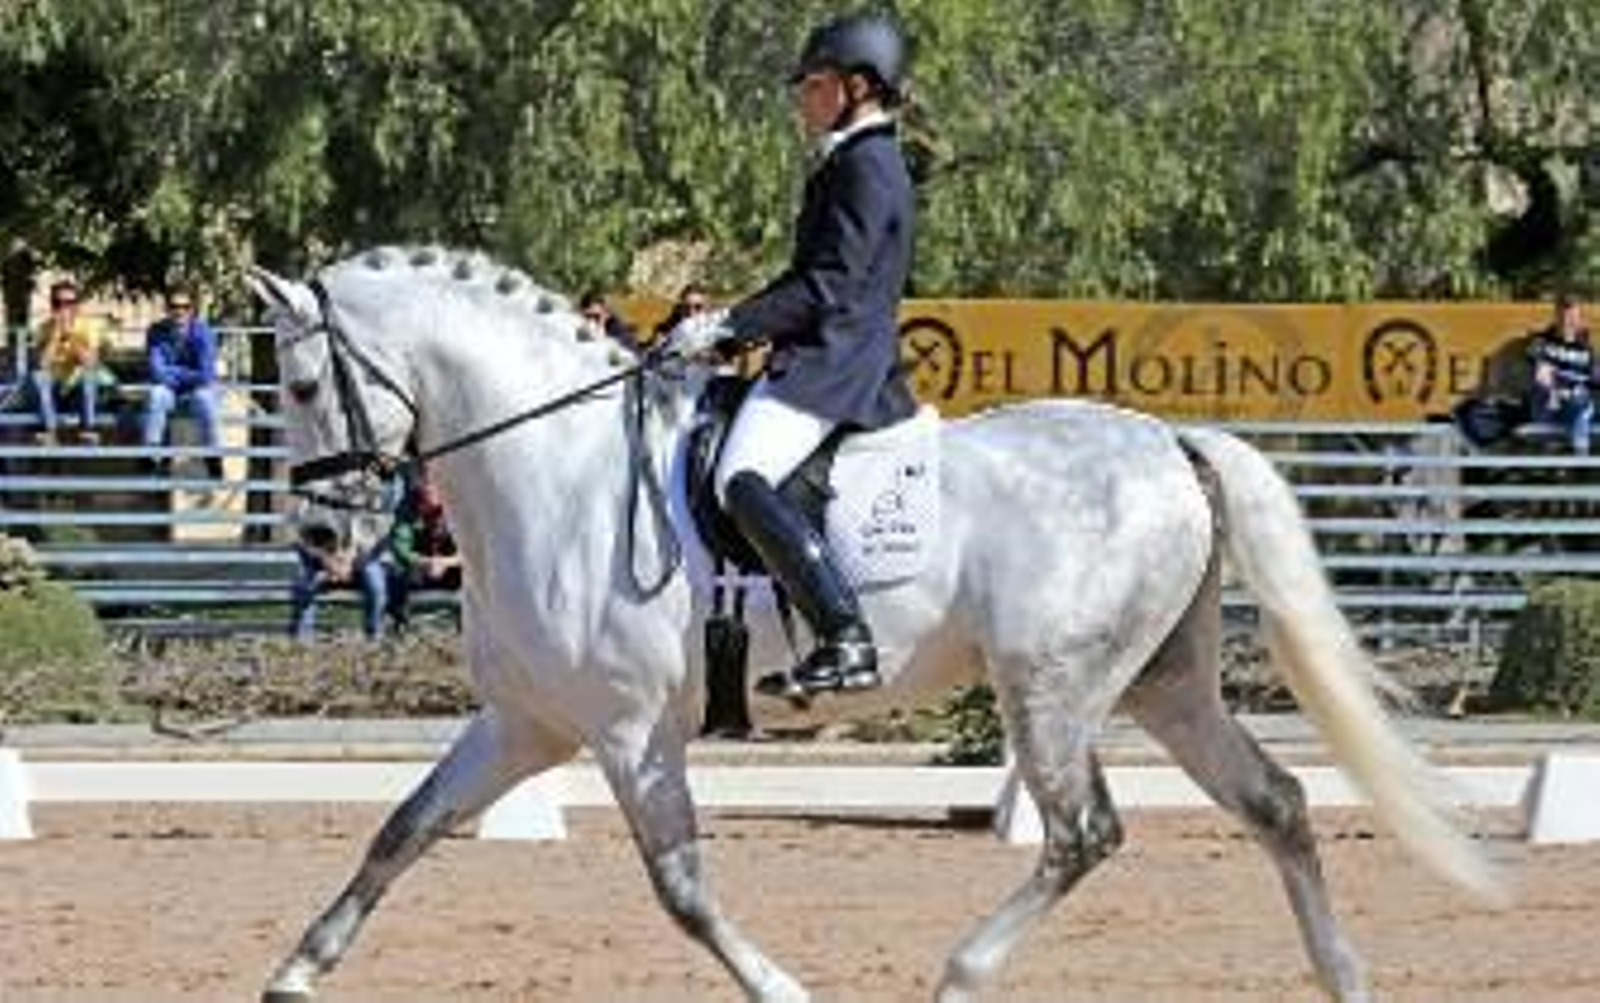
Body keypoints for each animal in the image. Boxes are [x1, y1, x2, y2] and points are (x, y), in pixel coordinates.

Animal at [247, 246, 1499, 1003]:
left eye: (303, 388)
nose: (319, 539)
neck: (559, 469)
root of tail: (1167, 441)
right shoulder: (525, 723)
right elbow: (401, 830)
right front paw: (294, 974)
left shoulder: (630, 732)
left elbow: (681, 888)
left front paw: (785, 989)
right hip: (1162, 682)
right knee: (1274, 802)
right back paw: (1343, 978)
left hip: (1052, 687)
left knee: (1082, 832)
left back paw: (960, 973)